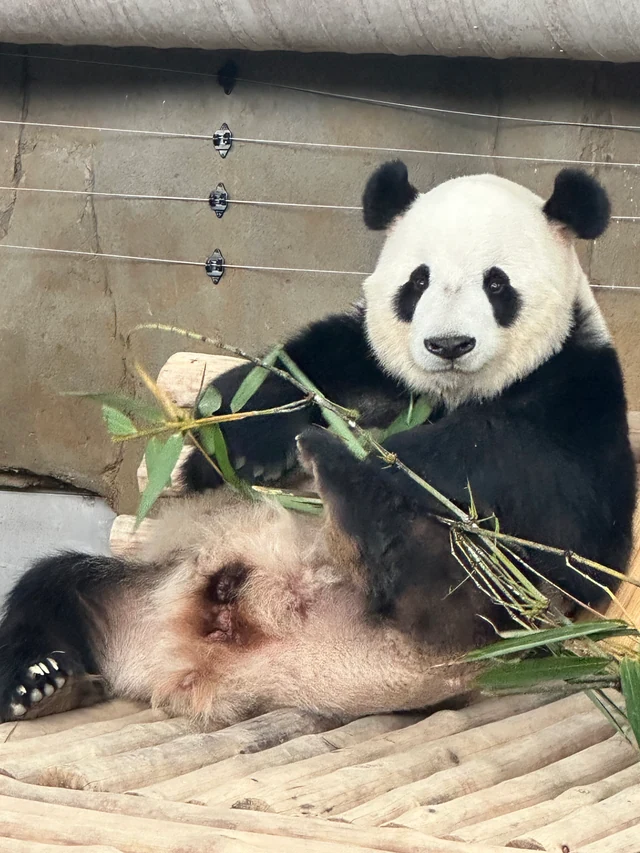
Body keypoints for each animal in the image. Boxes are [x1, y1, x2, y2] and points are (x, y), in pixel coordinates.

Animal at [0, 163, 635, 725]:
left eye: (496, 283)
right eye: (418, 281)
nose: (448, 344)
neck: (444, 395)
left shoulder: (578, 392)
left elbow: (549, 498)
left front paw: (390, 459)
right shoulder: (359, 360)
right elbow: (277, 379)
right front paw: (240, 448)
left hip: (491, 629)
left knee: (455, 573)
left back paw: (348, 487)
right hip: (137, 586)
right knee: (57, 588)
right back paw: (42, 682)